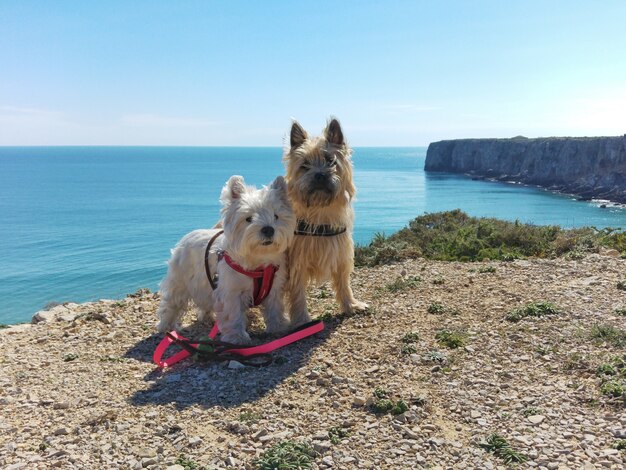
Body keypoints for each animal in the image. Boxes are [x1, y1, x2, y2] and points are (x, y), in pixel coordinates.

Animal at [155, 174, 294, 344]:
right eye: (248, 218)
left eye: (276, 216)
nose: (268, 229)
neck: (257, 260)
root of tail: (186, 236)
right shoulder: (231, 292)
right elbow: (233, 315)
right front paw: (237, 337)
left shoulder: (273, 289)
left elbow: (275, 308)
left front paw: (279, 327)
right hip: (180, 281)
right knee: (171, 303)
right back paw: (166, 326)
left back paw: (206, 317)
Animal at [282, 117, 366, 324]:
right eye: (305, 165)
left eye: (330, 161)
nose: (320, 175)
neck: (321, 212)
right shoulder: (296, 263)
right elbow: (297, 293)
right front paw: (302, 320)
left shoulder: (341, 254)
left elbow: (343, 282)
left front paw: (350, 305)